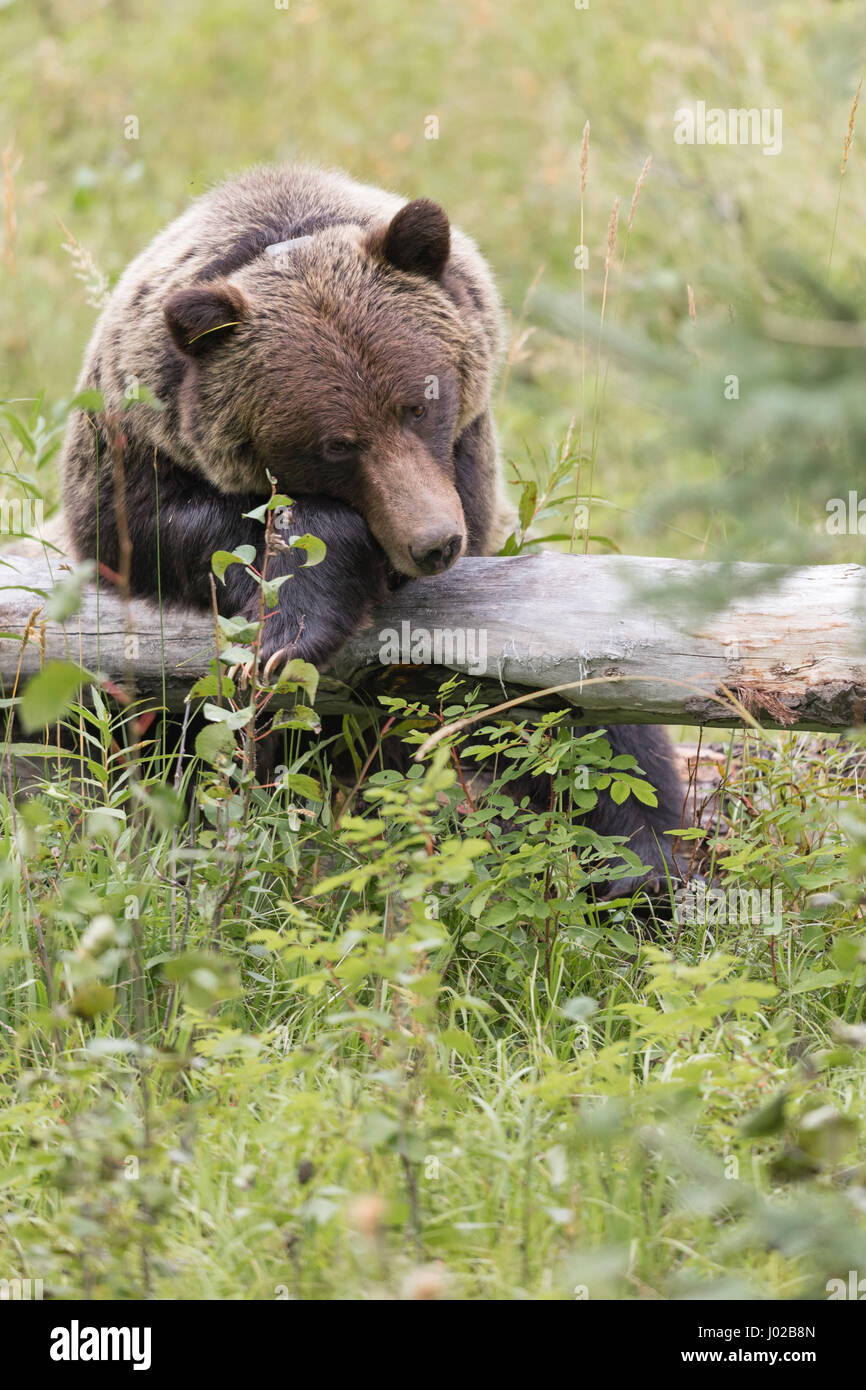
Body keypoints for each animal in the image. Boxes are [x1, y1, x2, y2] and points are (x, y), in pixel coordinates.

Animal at [59, 162, 683, 895]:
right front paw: (292, 627)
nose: (433, 542)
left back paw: (642, 868)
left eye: (418, 403)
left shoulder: (470, 466)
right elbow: (159, 532)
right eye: (335, 444)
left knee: (608, 740)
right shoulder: (135, 445)